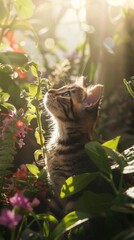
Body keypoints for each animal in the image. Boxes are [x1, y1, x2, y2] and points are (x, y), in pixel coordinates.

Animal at [44, 79, 103, 218]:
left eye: (66, 94)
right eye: (61, 87)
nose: (50, 90)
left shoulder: (77, 189)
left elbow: (69, 218)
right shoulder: (56, 195)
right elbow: (51, 216)